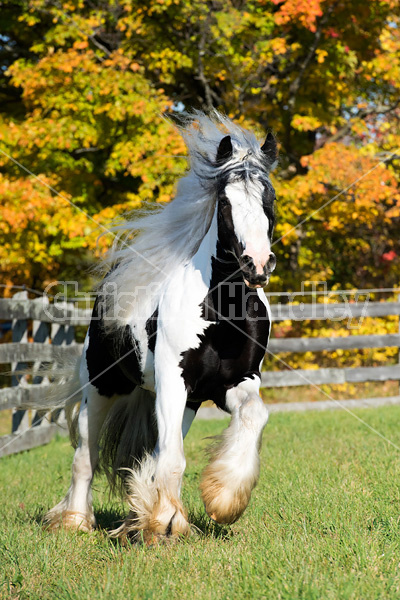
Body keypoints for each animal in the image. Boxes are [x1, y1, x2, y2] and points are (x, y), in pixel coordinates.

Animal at [43, 111, 278, 544]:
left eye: (269, 197)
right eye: (225, 201)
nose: (257, 264)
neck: (222, 310)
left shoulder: (233, 382)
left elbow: (253, 417)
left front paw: (223, 499)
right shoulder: (174, 378)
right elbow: (171, 458)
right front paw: (165, 524)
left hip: (185, 402)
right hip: (102, 388)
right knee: (86, 456)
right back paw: (76, 522)